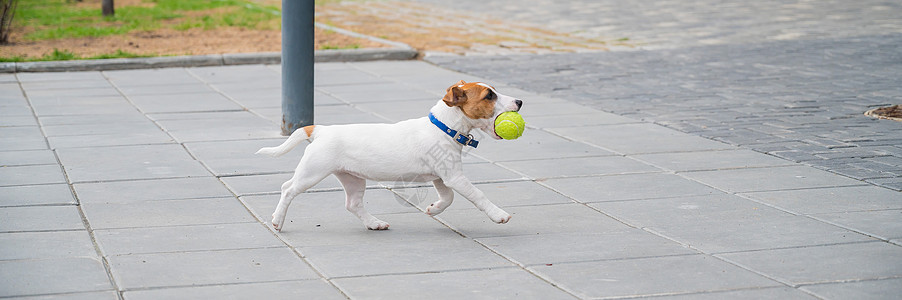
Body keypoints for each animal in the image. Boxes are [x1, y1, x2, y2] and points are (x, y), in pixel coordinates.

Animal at [256, 80, 524, 232]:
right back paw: (278, 220)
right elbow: (478, 195)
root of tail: (320, 129)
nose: (520, 101)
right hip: (312, 172)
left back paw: (374, 223)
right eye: (489, 96)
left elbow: (448, 198)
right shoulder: (454, 177)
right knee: (288, 189)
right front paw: (499, 215)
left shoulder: (442, 177)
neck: (443, 126)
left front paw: (433, 209)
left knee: (353, 204)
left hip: (353, 179)